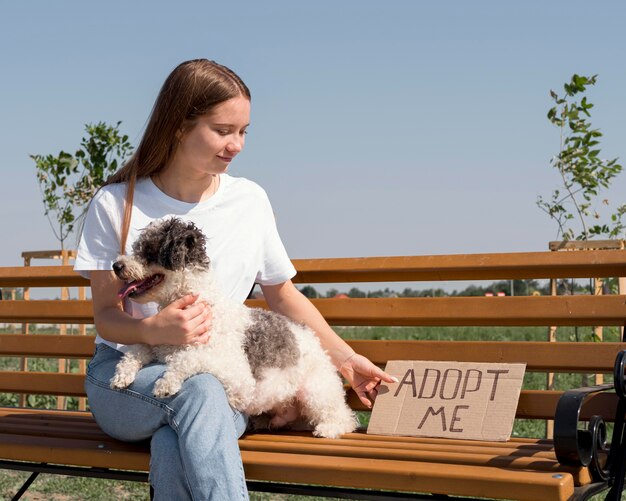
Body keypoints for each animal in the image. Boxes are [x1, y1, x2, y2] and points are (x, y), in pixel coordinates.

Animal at [107, 217, 356, 436]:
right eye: (137, 246)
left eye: (149, 250)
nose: (116, 265)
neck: (205, 306)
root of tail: (310, 335)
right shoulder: (158, 342)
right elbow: (137, 349)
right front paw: (122, 375)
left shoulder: (238, 378)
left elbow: (188, 358)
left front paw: (166, 383)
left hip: (317, 391)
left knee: (345, 417)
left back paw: (329, 428)